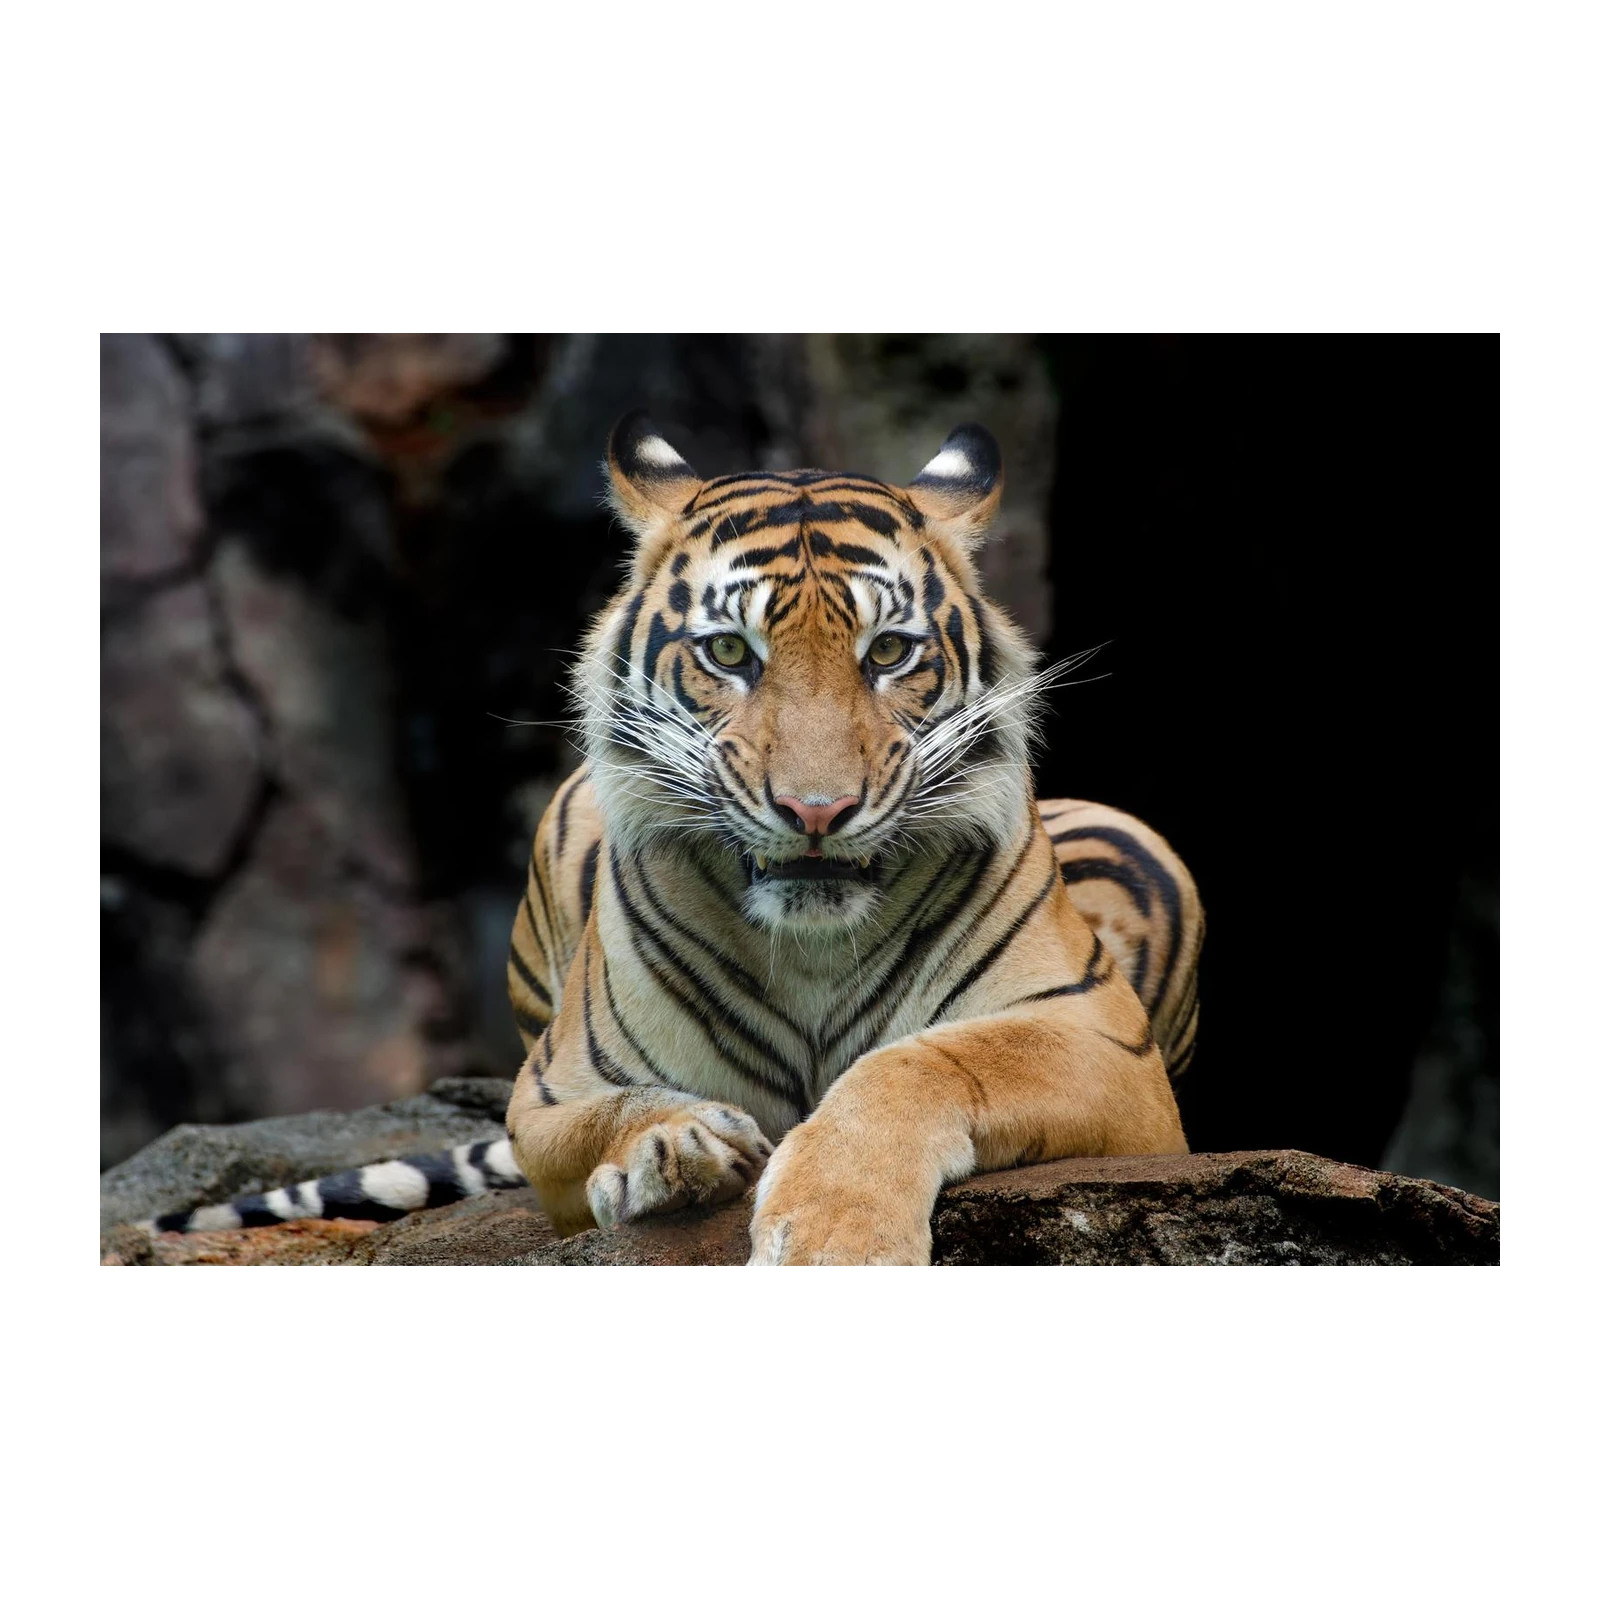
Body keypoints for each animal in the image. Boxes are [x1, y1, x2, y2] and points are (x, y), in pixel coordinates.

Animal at [136, 414, 1202, 1268]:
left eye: (889, 652)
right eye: (730, 653)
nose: (817, 811)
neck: (812, 948)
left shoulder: (1107, 1049)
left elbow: (922, 1064)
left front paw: (832, 1235)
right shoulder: (551, 1091)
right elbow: (615, 1112)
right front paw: (673, 1146)